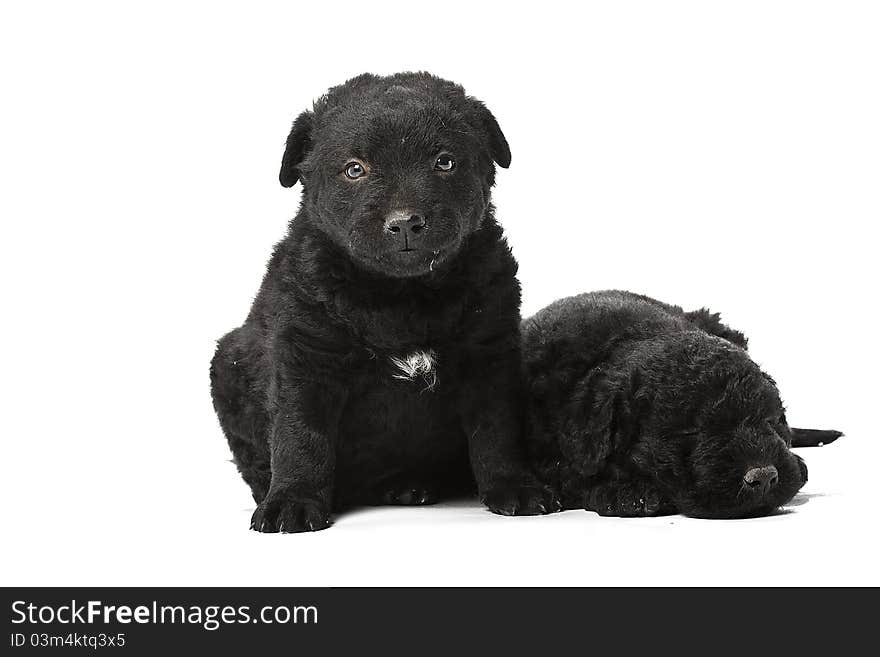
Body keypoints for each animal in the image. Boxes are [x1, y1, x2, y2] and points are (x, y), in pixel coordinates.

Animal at [211, 72, 556, 532]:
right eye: (354, 169)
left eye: (444, 162)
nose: (405, 222)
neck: (400, 296)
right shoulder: (305, 357)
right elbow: (299, 435)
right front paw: (291, 501)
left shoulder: (489, 353)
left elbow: (497, 430)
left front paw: (515, 487)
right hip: (228, 362)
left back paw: (410, 486)